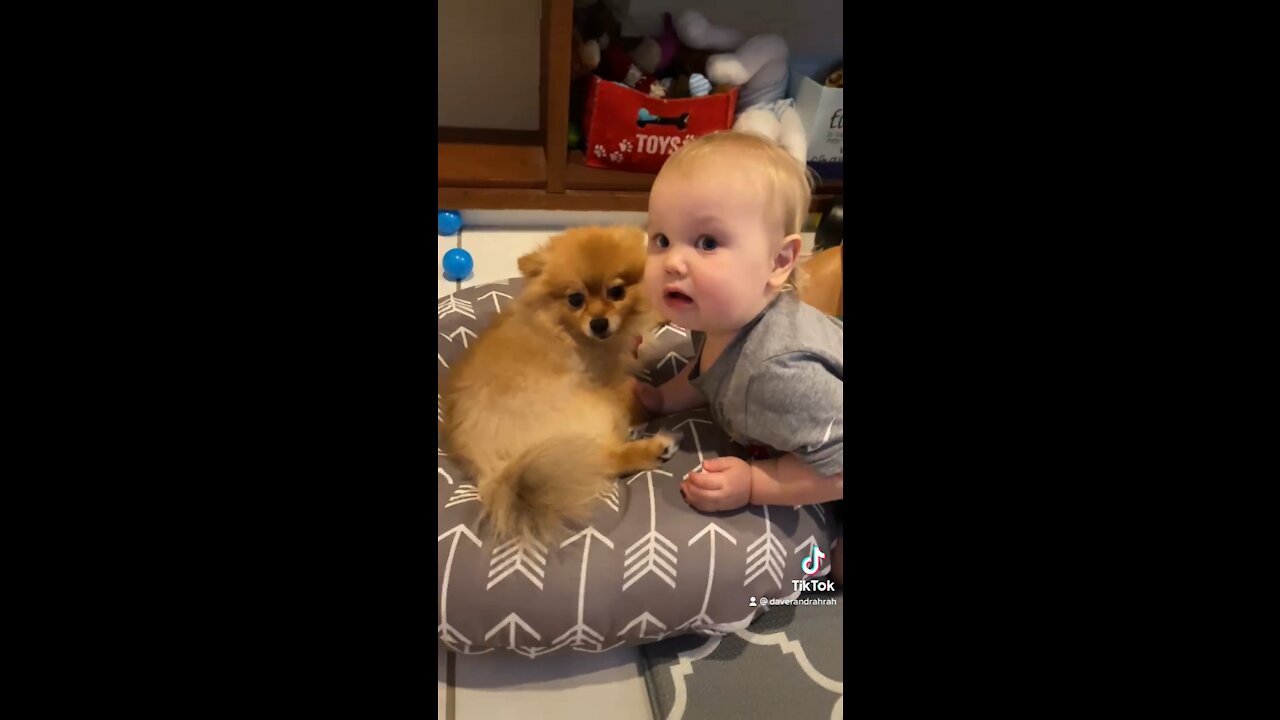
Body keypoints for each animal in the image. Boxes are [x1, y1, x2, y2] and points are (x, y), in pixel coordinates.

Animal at [445, 226, 680, 540]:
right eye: (575, 299)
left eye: (616, 292)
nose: (599, 323)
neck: (566, 327)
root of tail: (496, 471)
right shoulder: (608, 375)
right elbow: (629, 386)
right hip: (590, 404)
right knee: (604, 457)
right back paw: (652, 445)